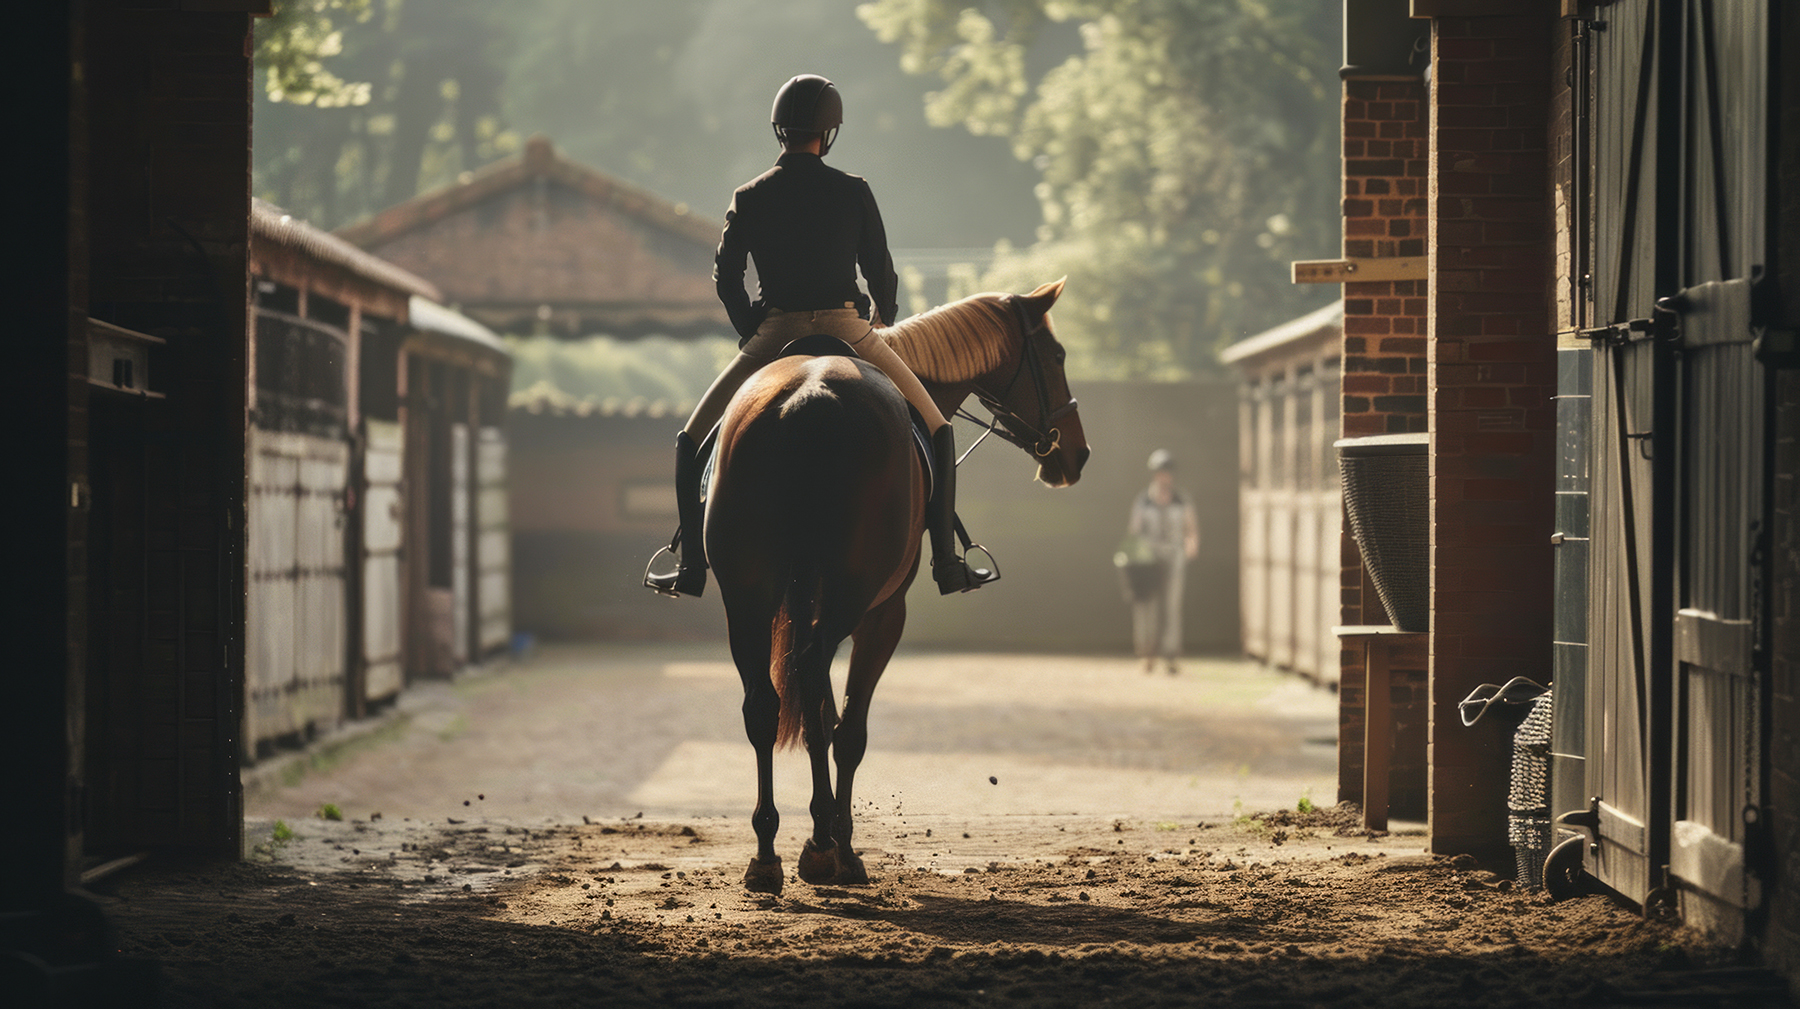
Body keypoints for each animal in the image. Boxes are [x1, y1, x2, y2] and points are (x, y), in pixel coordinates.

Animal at [705, 275, 1087, 888]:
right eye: (1056, 356)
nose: (1076, 454)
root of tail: (808, 398)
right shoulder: (885, 613)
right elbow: (847, 730)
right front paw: (838, 844)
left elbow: (816, 712)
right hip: (853, 599)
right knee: (819, 696)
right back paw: (822, 846)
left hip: (746, 600)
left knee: (766, 706)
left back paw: (766, 855)